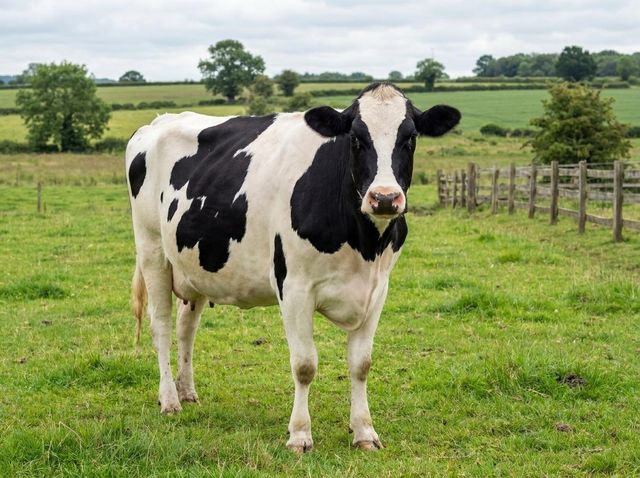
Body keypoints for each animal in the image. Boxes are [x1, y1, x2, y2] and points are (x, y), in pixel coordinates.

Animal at [126, 82, 460, 452]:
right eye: (356, 139)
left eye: (410, 137)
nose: (385, 198)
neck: (363, 245)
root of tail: (156, 122)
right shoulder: (294, 286)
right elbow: (304, 365)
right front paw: (300, 434)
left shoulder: (377, 289)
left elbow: (361, 364)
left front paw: (364, 431)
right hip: (153, 250)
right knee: (162, 325)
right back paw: (170, 399)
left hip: (194, 267)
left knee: (187, 328)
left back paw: (187, 392)